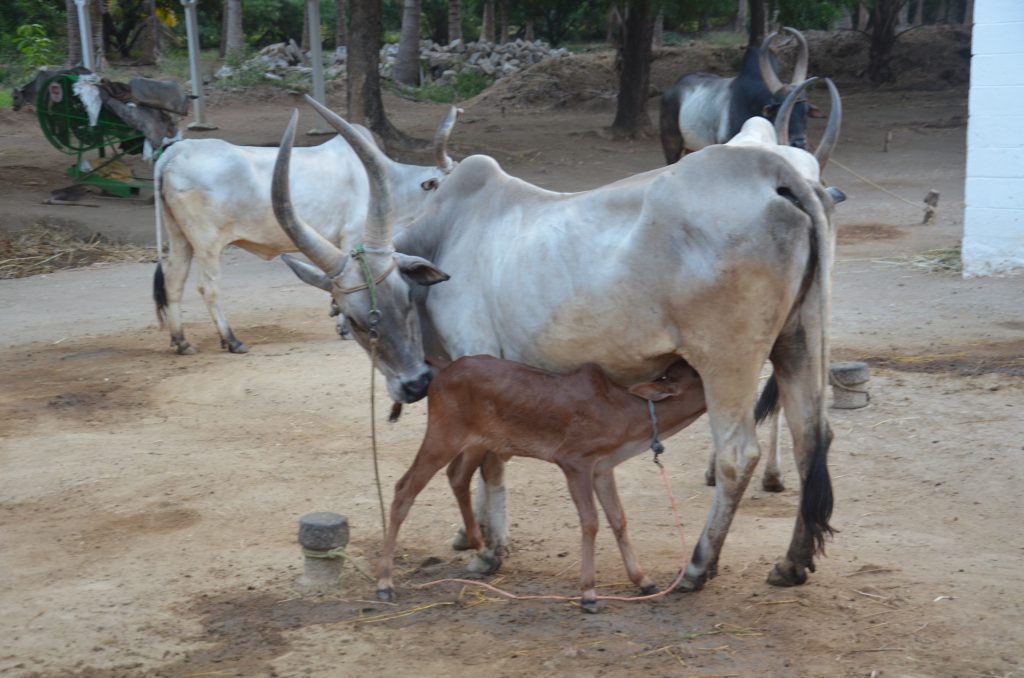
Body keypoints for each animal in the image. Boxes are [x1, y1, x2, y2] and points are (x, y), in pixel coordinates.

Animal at [149, 106, 458, 356]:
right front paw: (345, 326)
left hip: (180, 237)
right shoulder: (352, 238)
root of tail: (177, 151)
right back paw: (232, 341)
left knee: (173, 282)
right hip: (208, 242)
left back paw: (181, 342)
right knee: (208, 287)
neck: (392, 184)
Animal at [376, 358, 704, 614]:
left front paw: (644, 581)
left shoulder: (602, 469)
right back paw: (385, 583)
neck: (624, 416)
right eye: (698, 374)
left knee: (457, 476)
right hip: (443, 434)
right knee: (404, 488)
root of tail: (440, 374)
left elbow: (618, 519)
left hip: (477, 441)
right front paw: (588, 594)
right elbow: (591, 522)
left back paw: (484, 552)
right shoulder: (574, 462)